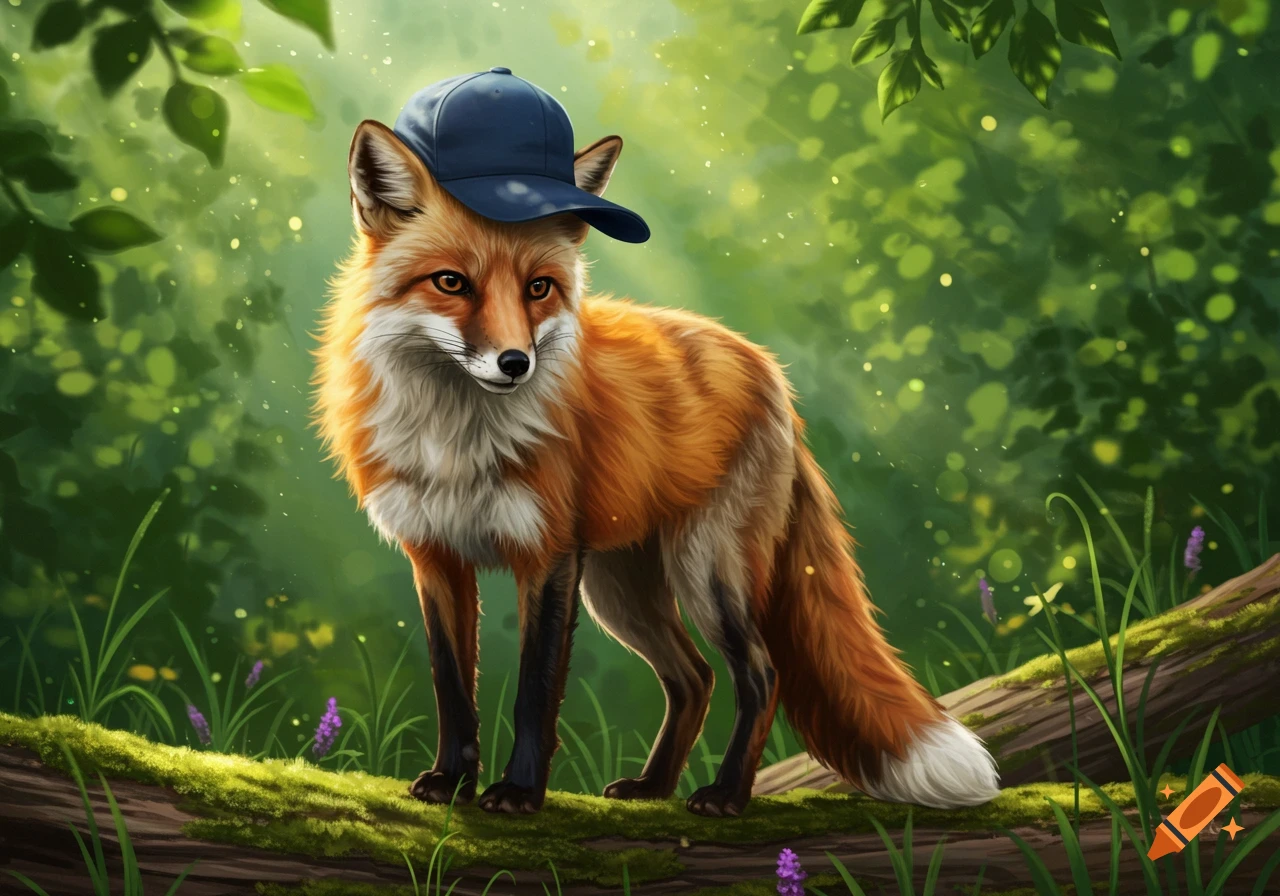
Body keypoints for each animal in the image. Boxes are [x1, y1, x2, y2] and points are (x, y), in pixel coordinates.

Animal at [313, 113, 1000, 817]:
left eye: (539, 288)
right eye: (451, 281)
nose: (515, 363)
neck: (456, 443)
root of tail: (769, 370)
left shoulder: (549, 557)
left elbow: (535, 693)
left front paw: (520, 792)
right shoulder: (436, 557)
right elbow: (453, 689)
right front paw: (450, 782)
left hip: (705, 572)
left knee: (761, 673)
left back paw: (725, 794)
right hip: (620, 589)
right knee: (694, 678)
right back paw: (652, 787)